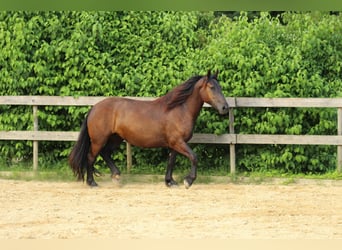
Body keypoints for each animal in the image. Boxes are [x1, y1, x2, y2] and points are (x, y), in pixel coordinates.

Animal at [68, 70, 228, 188]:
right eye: (212, 87)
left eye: (220, 87)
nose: (225, 108)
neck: (179, 109)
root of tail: (94, 108)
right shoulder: (178, 142)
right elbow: (194, 157)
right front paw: (188, 181)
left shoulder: (174, 144)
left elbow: (171, 162)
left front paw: (170, 182)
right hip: (99, 140)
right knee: (91, 157)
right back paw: (92, 183)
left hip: (115, 138)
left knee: (105, 153)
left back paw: (116, 176)